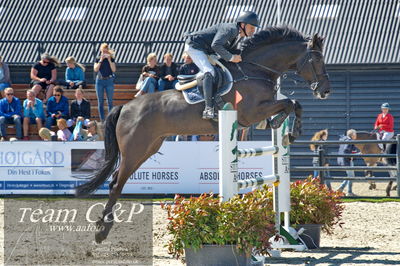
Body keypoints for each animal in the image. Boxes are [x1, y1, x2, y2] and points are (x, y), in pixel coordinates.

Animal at [76, 27, 332, 243]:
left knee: (116, 179)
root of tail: (125, 107)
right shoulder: (250, 113)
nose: (325, 91)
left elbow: (294, 104)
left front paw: (287, 129)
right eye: (317, 59)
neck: (254, 70)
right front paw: (286, 127)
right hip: (134, 150)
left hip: (148, 148)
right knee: (115, 183)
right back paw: (101, 231)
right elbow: (289, 103)